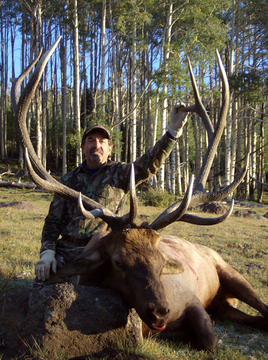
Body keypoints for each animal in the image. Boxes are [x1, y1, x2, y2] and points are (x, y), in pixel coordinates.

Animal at [13, 36, 268, 352]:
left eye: (161, 261)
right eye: (118, 261)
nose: (161, 311)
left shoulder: (191, 300)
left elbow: (210, 341)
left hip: (229, 270)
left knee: (262, 306)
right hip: (222, 302)